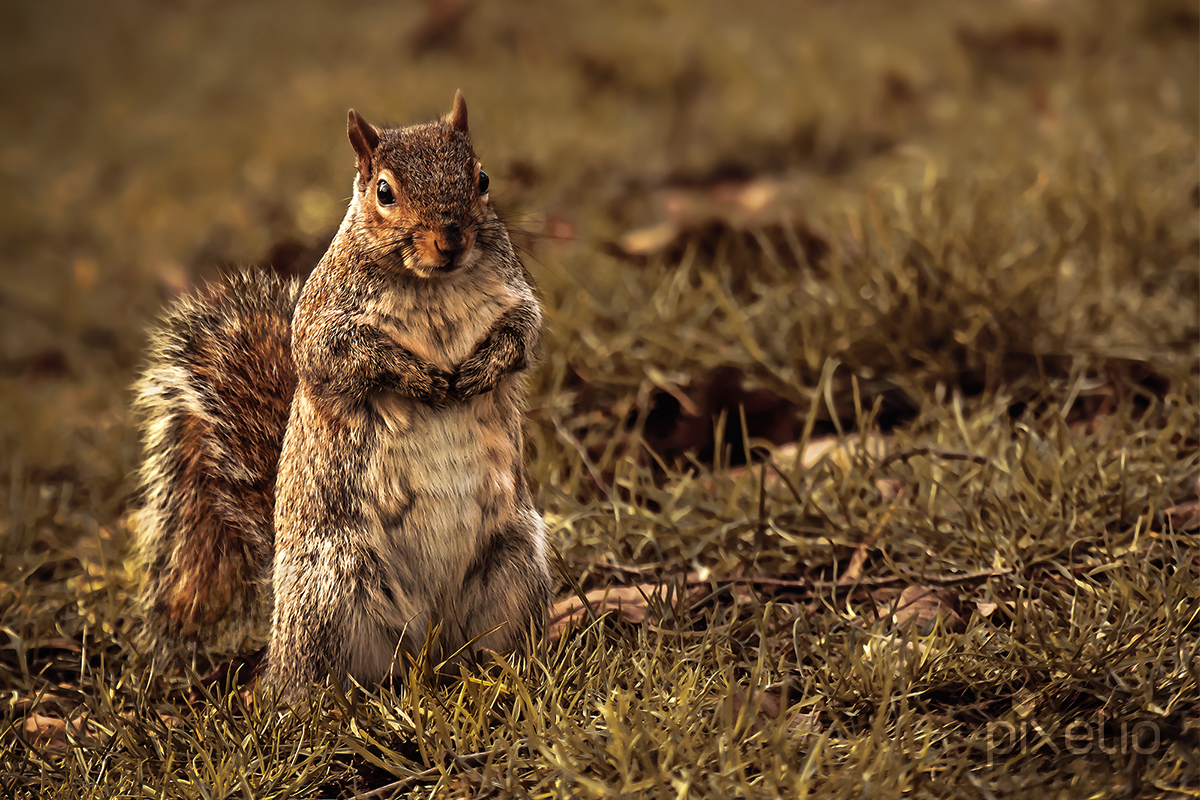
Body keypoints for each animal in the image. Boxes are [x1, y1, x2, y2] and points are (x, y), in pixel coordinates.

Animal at [130, 90, 549, 695]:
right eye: (384, 191)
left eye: (483, 178)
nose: (451, 240)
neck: (435, 284)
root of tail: (432, 644)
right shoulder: (324, 325)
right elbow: (344, 358)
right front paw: (418, 377)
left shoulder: (516, 300)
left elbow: (522, 334)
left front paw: (479, 369)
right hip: (334, 588)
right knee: (318, 676)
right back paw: (320, 700)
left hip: (514, 563)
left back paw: (508, 671)